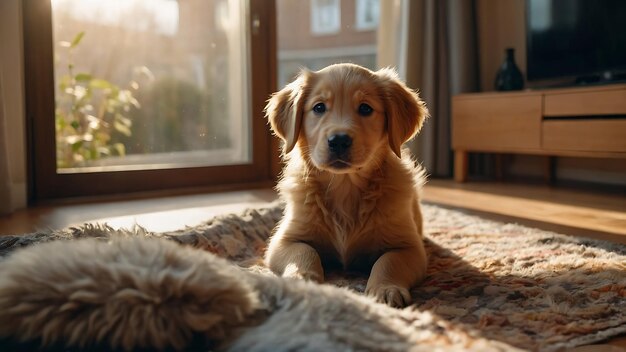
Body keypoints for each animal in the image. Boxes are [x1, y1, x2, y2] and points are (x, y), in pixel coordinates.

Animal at [264, 63, 428, 308]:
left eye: (365, 108)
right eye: (319, 107)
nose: (339, 140)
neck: (345, 186)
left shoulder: (409, 247)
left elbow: (388, 261)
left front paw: (385, 289)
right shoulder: (284, 241)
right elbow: (305, 252)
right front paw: (302, 280)